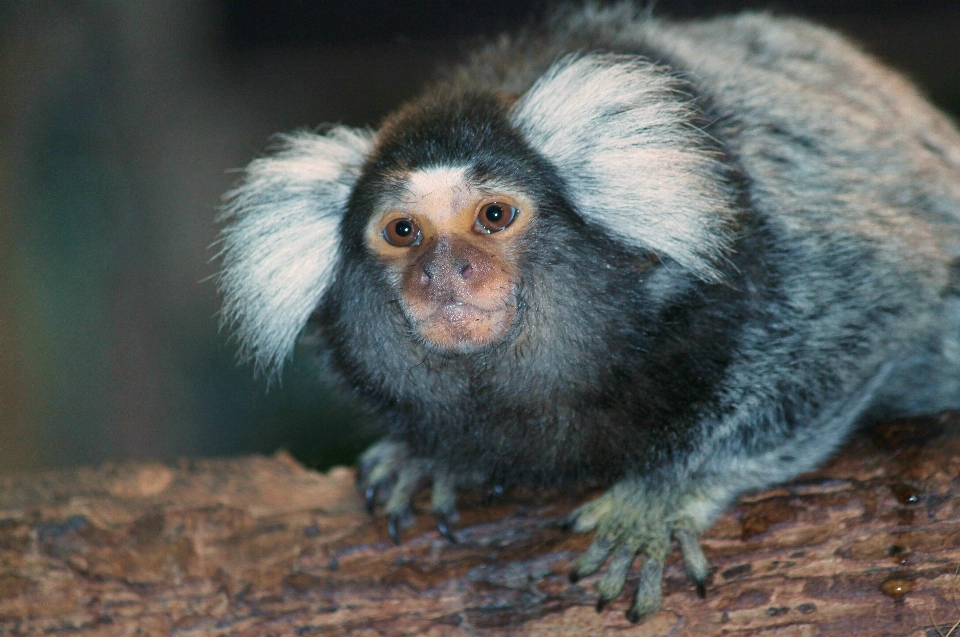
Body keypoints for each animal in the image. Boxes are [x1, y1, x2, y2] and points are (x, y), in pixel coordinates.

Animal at [214, 2, 960, 624]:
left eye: (494, 216)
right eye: (403, 232)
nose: (444, 271)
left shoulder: (781, 244)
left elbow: (875, 302)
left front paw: (666, 492)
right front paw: (425, 456)